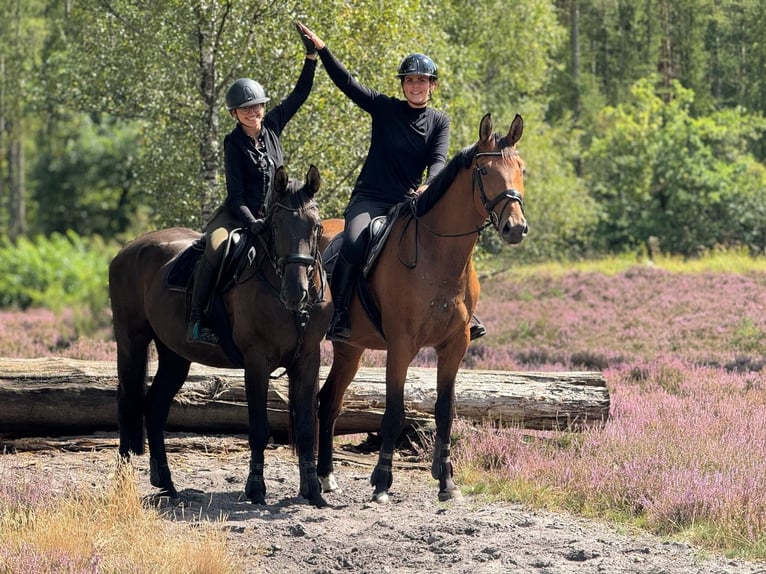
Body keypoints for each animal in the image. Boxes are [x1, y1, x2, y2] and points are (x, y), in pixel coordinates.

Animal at [109, 164, 332, 506]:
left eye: (316, 227)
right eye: (276, 226)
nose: (296, 293)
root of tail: (128, 249)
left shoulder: (308, 359)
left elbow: (308, 427)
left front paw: (313, 492)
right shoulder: (256, 362)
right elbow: (258, 428)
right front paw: (256, 489)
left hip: (174, 355)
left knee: (154, 406)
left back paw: (167, 484)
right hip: (130, 341)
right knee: (128, 403)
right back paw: (123, 483)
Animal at [318, 115, 528, 502]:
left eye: (520, 169)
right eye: (485, 170)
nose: (516, 228)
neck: (438, 256)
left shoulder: (455, 345)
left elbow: (445, 411)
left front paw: (447, 482)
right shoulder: (401, 345)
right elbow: (393, 412)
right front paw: (382, 482)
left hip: (349, 349)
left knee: (329, 402)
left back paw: (326, 476)